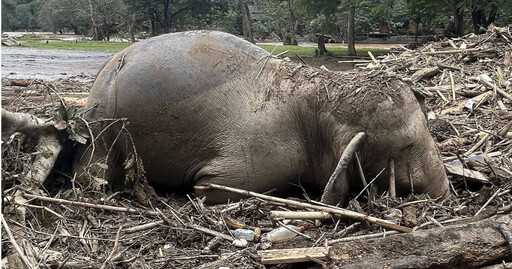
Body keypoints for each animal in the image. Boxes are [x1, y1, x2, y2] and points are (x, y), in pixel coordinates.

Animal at [1, 30, 448, 203]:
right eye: (406, 145)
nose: (448, 193)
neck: (319, 94)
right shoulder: (265, 156)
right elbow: (215, 186)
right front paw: (197, 190)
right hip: (104, 125)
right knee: (92, 173)